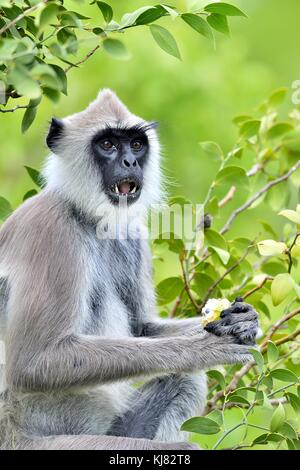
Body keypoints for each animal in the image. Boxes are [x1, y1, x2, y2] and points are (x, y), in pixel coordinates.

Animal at [0, 90, 258, 450]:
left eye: (136, 145)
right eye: (108, 144)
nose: (130, 163)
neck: (88, 216)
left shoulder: (132, 234)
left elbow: (141, 328)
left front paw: (240, 319)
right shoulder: (50, 228)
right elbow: (33, 363)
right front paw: (204, 348)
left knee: (186, 380)